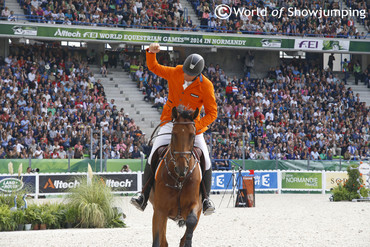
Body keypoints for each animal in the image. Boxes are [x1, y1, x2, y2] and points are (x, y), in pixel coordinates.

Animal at [148, 106, 202, 247]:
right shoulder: (160, 210)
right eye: (173, 134)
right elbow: (157, 240)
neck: (180, 180)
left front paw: (188, 241)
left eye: (192, 135)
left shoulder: (195, 205)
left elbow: (191, 222)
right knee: (163, 241)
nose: (182, 168)